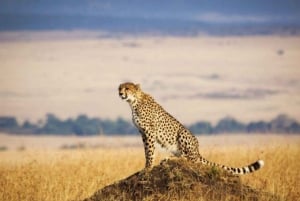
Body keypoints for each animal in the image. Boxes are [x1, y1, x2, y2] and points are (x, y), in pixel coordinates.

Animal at [118, 81, 264, 174]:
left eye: (127, 88)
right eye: (119, 88)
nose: (120, 93)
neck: (133, 102)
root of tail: (198, 151)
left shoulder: (149, 131)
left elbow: (149, 152)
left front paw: (147, 168)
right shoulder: (142, 132)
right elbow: (147, 151)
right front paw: (147, 166)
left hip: (183, 133)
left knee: (189, 159)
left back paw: (169, 158)